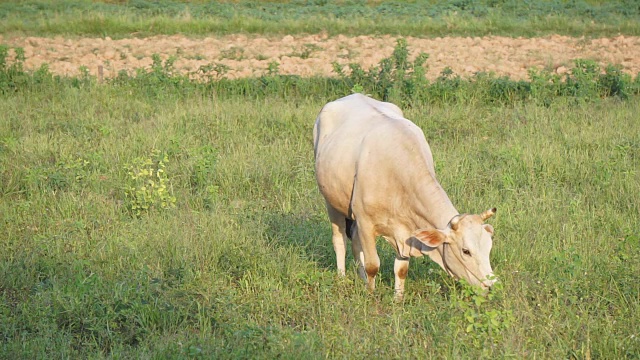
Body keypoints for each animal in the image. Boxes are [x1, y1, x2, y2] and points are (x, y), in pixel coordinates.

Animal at [312, 92, 498, 298]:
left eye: (489, 247)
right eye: (466, 251)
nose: (490, 286)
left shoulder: (404, 231)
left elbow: (400, 269)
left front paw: (397, 298)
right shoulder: (365, 221)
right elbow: (372, 264)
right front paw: (371, 294)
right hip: (331, 201)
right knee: (340, 241)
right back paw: (342, 277)